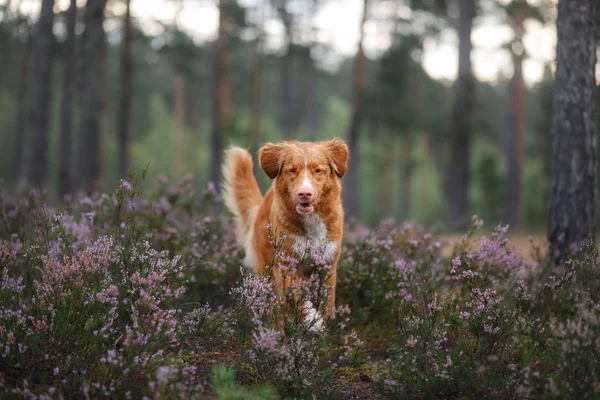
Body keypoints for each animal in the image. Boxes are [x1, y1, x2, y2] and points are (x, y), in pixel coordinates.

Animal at [221, 139, 350, 326]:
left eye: (318, 170)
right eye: (292, 170)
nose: (305, 193)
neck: (311, 223)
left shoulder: (327, 265)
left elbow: (327, 303)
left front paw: (325, 323)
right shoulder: (286, 264)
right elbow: (298, 298)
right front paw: (313, 319)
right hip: (267, 271)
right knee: (275, 312)